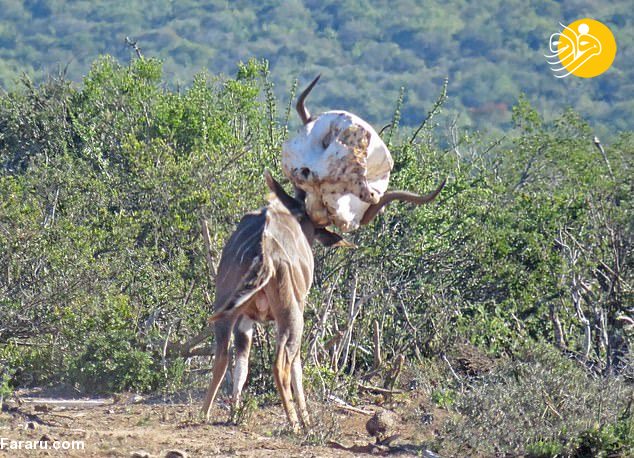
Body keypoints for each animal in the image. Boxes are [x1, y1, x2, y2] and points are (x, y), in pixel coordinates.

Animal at [202, 77, 444, 432]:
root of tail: (265, 253)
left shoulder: (245, 318)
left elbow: (240, 364)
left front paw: (233, 414)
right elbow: (297, 366)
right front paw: (305, 419)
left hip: (226, 309)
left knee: (222, 356)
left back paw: (205, 414)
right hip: (292, 316)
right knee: (284, 362)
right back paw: (295, 423)